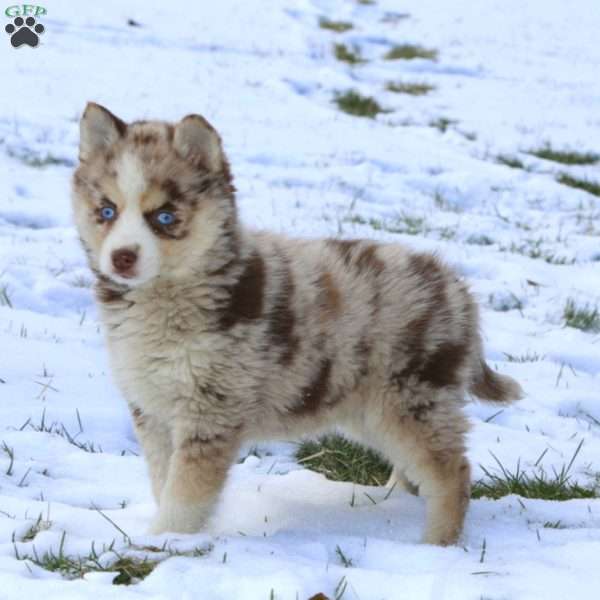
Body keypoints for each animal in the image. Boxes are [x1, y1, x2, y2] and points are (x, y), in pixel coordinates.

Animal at [71, 102, 520, 544]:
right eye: (106, 211)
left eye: (164, 216)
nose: (122, 257)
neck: (162, 301)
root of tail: (458, 289)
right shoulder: (153, 409)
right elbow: (163, 479)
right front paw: (162, 535)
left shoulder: (211, 411)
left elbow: (185, 492)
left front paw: (165, 541)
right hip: (373, 410)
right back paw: (393, 502)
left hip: (412, 399)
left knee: (452, 471)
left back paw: (437, 543)